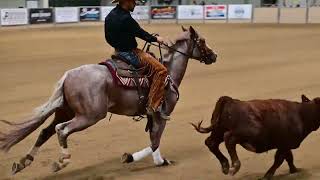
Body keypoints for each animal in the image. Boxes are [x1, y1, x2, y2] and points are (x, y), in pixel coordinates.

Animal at [0, 26, 218, 174]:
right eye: (202, 41)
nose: (214, 55)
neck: (168, 73)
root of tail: (69, 76)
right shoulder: (162, 114)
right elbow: (155, 141)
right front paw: (132, 158)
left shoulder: (152, 116)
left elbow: (153, 139)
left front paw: (160, 161)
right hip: (90, 116)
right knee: (61, 130)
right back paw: (61, 161)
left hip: (65, 110)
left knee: (46, 131)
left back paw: (23, 162)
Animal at [192, 95, 320, 179]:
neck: (302, 113)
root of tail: (231, 101)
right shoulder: (284, 145)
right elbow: (279, 160)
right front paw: (267, 176)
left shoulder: (284, 145)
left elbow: (288, 158)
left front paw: (294, 170)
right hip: (250, 132)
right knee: (229, 138)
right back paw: (234, 166)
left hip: (218, 130)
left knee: (211, 142)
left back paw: (225, 166)